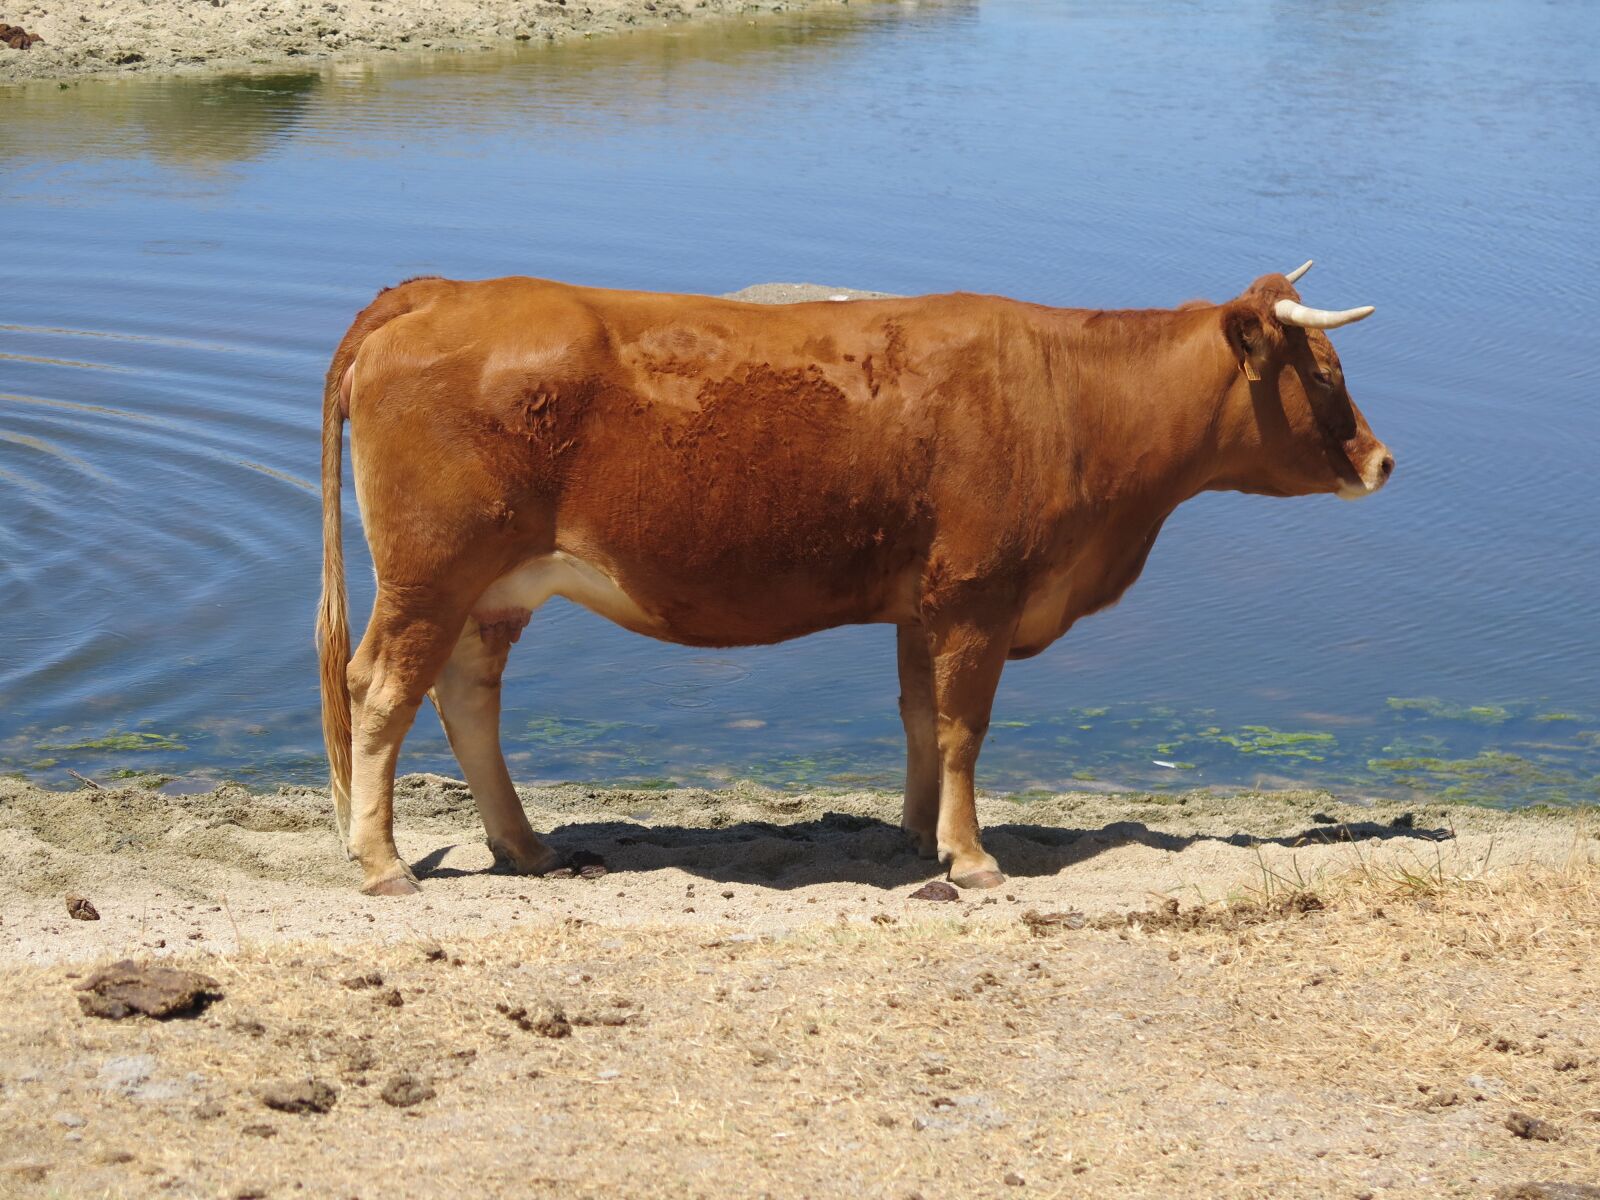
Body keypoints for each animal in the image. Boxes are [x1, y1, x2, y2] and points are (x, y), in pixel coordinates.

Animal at [315, 267, 1388, 896]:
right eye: (1327, 374)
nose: (1381, 461)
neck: (1074, 398)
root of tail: (442, 289)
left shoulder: (924, 603)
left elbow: (919, 718)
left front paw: (918, 835)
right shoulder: (977, 592)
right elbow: (962, 727)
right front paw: (973, 857)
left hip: (494, 588)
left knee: (465, 699)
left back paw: (526, 847)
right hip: (430, 571)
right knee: (380, 691)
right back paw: (382, 863)